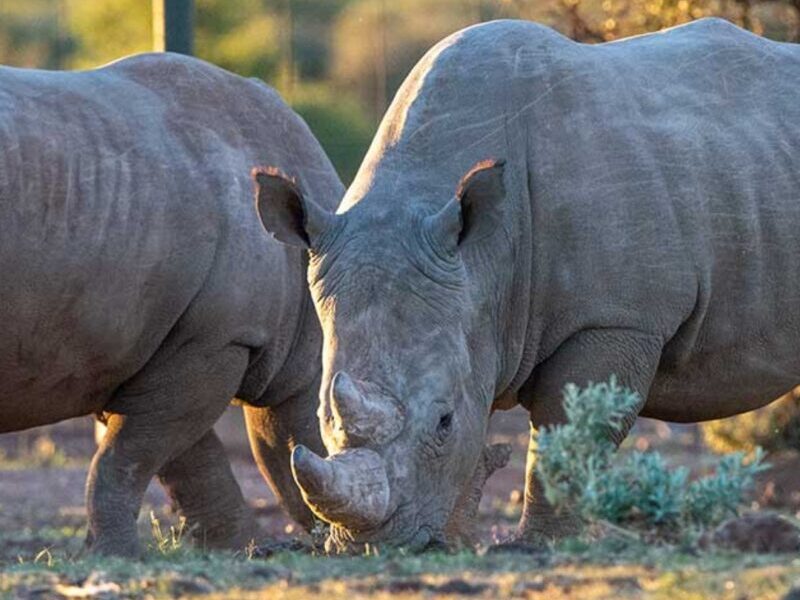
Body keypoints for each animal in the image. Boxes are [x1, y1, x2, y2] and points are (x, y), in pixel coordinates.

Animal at [0, 52, 340, 556]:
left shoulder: (172, 342)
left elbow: (186, 459)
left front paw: (238, 550)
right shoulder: (217, 338)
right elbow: (133, 456)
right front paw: (115, 554)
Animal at [255, 18, 800, 552]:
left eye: (443, 421)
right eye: (324, 418)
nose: (372, 546)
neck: (486, 256)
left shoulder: (615, 318)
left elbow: (568, 428)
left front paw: (539, 543)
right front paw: (455, 542)